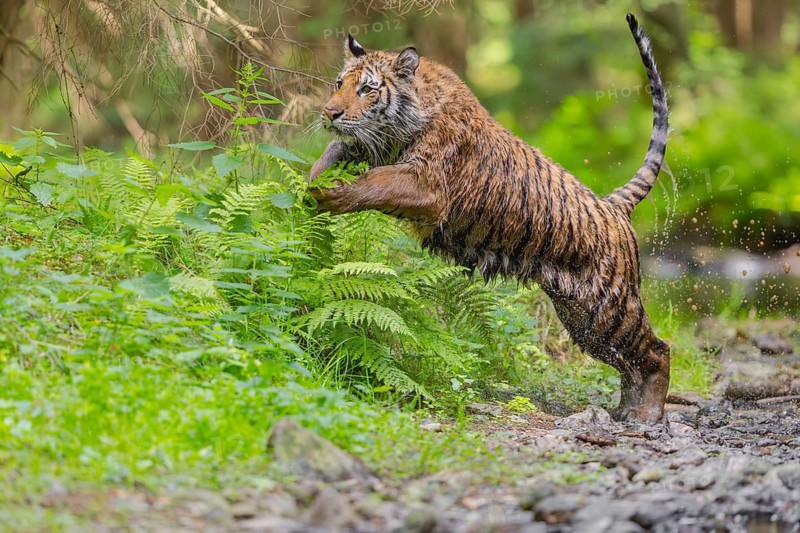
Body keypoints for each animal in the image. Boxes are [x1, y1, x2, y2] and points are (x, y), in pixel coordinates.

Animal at [309, 14, 671, 423]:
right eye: (339, 84)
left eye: (367, 89)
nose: (330, 113)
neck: (396, 129)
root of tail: (613, 206)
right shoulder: (367, 147)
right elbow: (333, 151)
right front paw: (312, 184)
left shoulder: (427, 186)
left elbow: (375, 183)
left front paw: (335, 193)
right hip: (582, 319)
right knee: (628, 362)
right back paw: (625, 409)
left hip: (608, 308)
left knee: (657, 350)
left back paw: (647, 415)